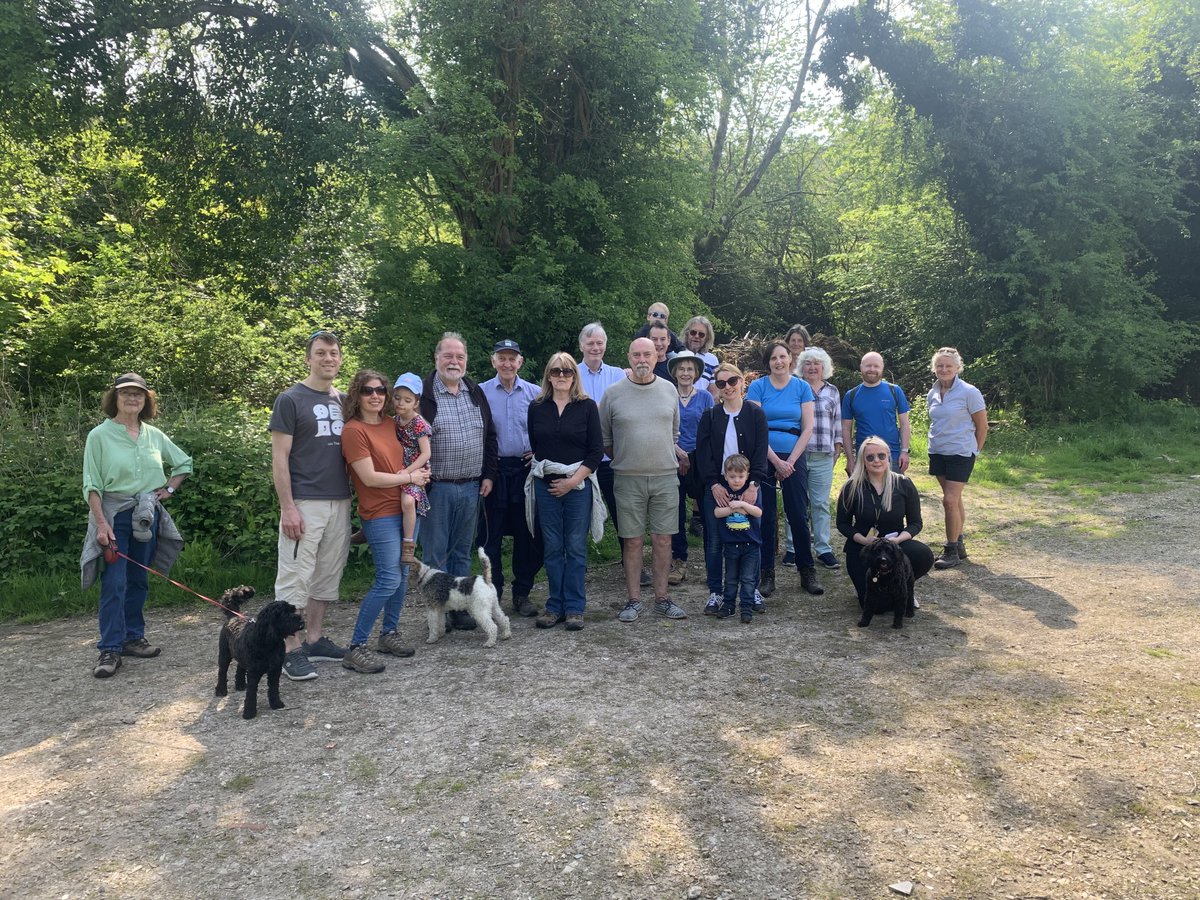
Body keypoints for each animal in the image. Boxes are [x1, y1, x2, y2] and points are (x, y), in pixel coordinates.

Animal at [213, 588, 304, 724]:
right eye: (284, 614)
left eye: (292, 610)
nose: (302, 621)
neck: (268, 643)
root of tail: (233, 616)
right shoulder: (254, 673)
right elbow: (251, 693)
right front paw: (249, 712)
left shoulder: (275, 670)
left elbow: (274, 688)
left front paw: (276, 703)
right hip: (224, 654)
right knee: (222, 672)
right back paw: (221, 690)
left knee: (240, 667)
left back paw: (240, 685)